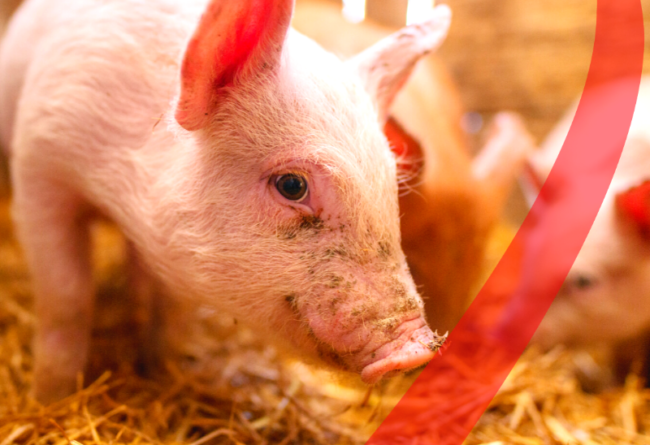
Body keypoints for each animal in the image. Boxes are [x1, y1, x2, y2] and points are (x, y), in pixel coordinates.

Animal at [0, 0, 452, 403]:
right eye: (292, 185)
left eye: (389, 186)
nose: (415, 348)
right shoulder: (38, 164)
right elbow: (67, 298)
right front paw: (50, 400)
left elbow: (172, 306)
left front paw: (163, 371)